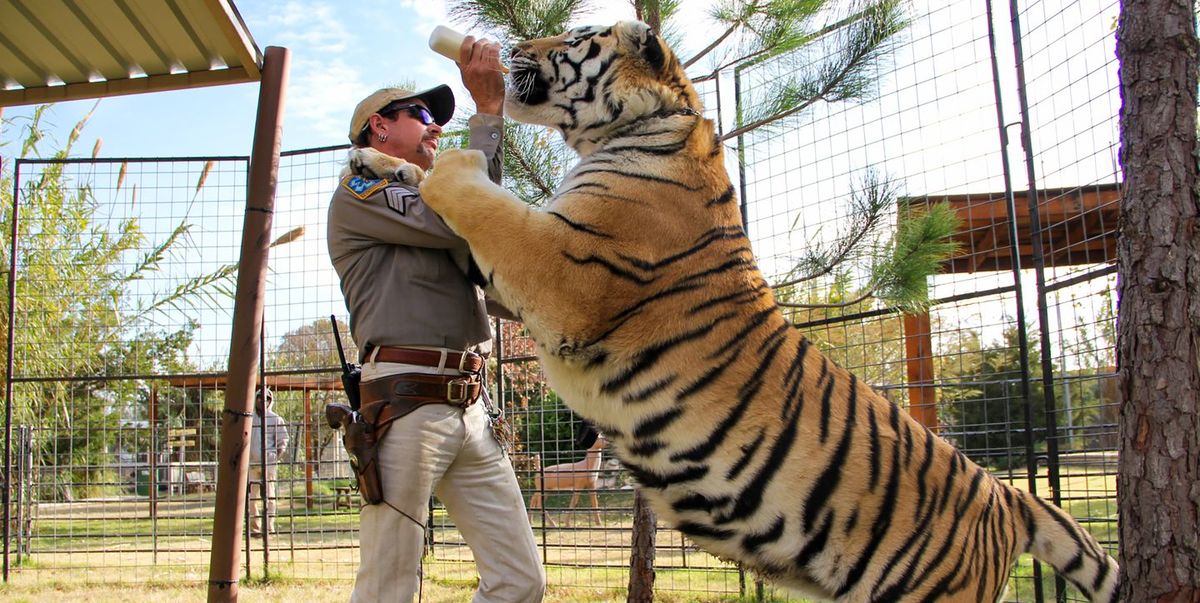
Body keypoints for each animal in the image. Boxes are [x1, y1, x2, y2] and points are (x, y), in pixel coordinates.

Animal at [354, 20, 1120, 601]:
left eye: (572, 36)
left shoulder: (559, 267)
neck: (642, 127)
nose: (510, 47)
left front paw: (434, 159)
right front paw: (375, 160)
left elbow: (474, 194)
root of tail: (1005, 494)